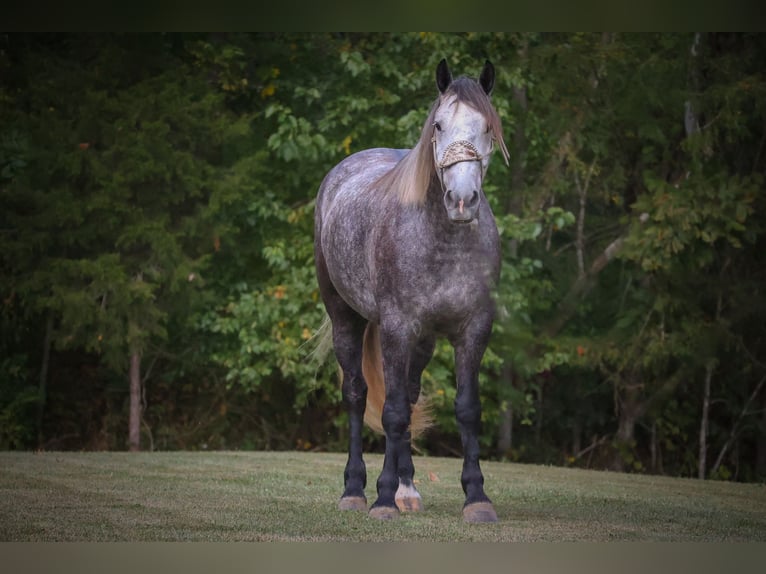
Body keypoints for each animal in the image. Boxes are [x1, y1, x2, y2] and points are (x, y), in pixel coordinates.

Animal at [314, 58, 509, 523]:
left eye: (487, 127)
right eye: (438, 125)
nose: (462, 199)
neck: (442, 241)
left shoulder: (473, 329)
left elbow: (465, 409)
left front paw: (477, 497)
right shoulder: (396, 328)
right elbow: (394, 411)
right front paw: (382, 500)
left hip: (423, 340)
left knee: (411, 392)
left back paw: (407, 488)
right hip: (345, 318)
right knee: (357, 394)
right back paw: (355, 490)